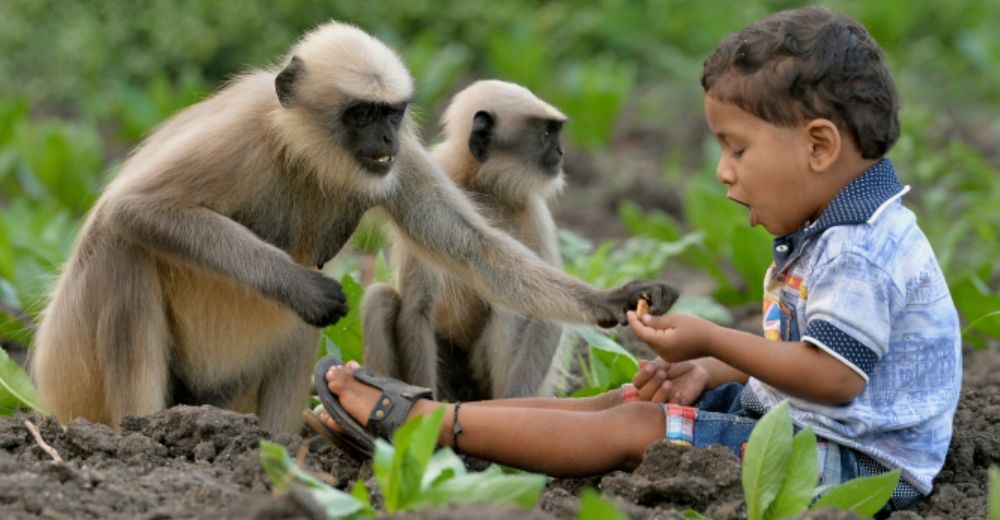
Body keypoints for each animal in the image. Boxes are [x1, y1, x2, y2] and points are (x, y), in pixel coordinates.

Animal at [364, 80, 576, 398]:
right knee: (379, 299)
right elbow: (417, 307)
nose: (561, 152)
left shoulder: (534, 211)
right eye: (548, 133)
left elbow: (546, 313)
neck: (480, 184)